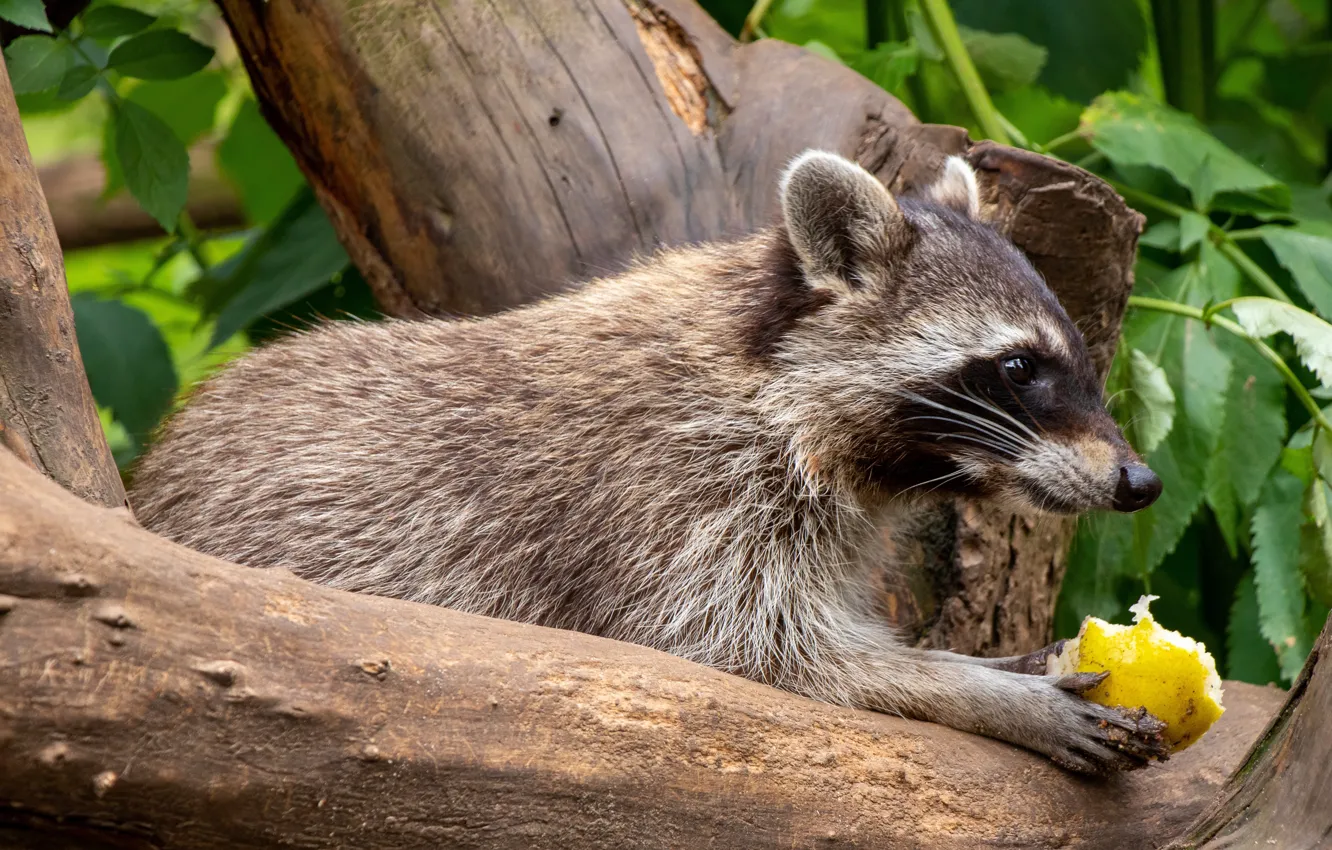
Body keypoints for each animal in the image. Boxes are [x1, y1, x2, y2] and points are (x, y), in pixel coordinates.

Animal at [130, 150, 1166, 773]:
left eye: (1078, 358)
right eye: (1020, 367)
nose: (1140, 482)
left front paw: (1000, 657)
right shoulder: (669, 493)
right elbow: (758, 654)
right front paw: (975, 687)